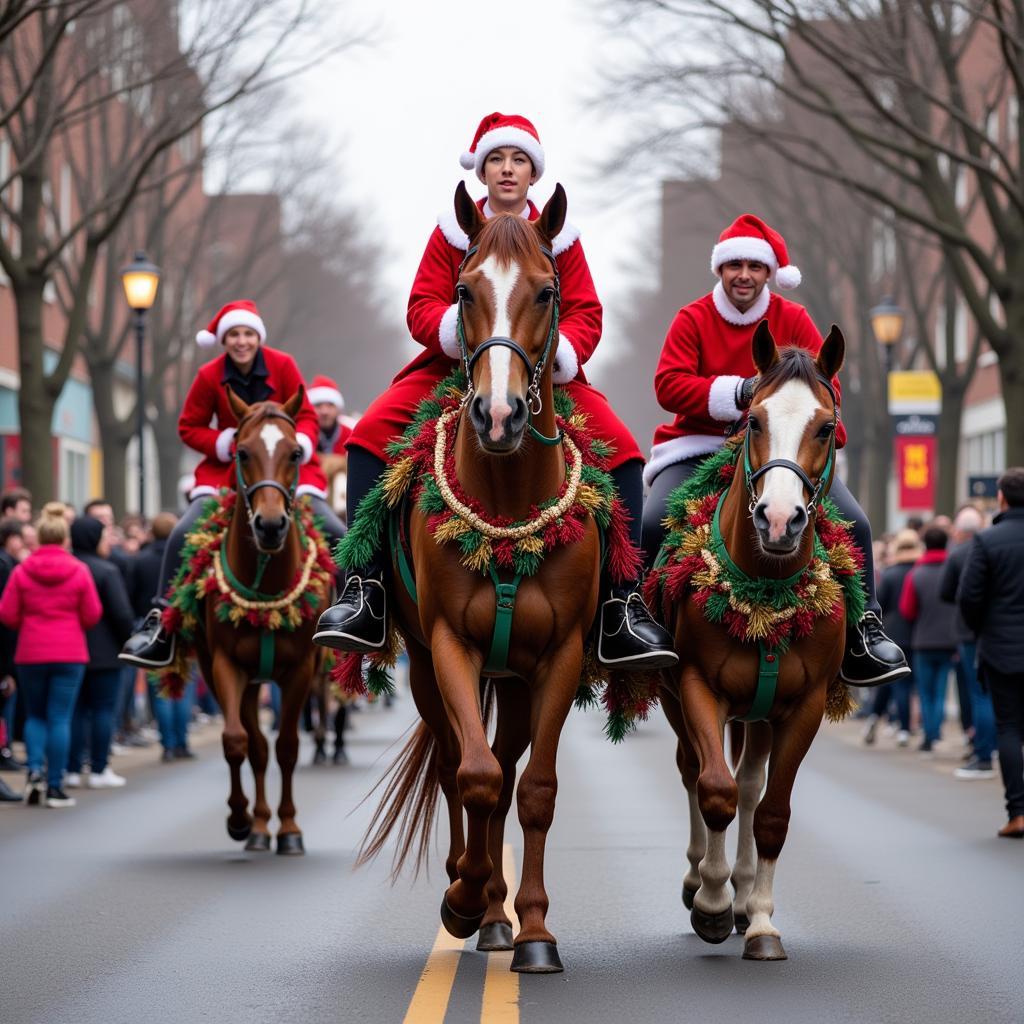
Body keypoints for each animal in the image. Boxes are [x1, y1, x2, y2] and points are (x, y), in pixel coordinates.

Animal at [190, 387, 321, 851]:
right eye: (241, 453)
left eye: (296, 452)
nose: (269, 525)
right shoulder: (226, 667)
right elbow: (238, 742)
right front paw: (241, 819)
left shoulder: (301, 669)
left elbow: (287, 747)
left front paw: (291, 829)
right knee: (254, 746)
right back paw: (257, 825)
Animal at [358, 184, 598, 974]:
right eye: (464, 290)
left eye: (548, 290)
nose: (498, 415)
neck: (505, 500)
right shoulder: (448, 645)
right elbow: (476, 778)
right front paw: (461, 898)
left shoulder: (559, 657)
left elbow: (534, 790)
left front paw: (534, 931)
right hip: (425, 670)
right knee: (457, 767)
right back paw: (475, 902)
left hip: (516, 681)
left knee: (507, 762)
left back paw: (499, 917)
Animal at [663, 325, 847, 958]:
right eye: (754, 421)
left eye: (826, 427)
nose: (780, 519)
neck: (764, 586)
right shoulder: (697, 686)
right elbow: (712, 787)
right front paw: (712, 903)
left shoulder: (804, 706)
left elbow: (769, 812)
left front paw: (760, 919)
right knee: (696, 771)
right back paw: (702, 881)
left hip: (761, 713)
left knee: (750, 787)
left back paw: (745, 898)